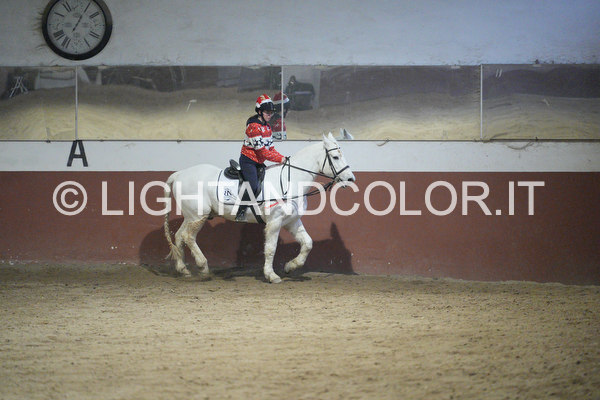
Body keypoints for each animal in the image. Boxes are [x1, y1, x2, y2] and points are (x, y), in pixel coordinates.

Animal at [162, 132, 356, 283]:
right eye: (336, 157)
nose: (350, 178)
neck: (290, 180)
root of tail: (180, 174)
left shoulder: (292, 221)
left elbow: (307, 243)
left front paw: (290, 266)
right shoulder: (275, 222)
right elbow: (270, 249)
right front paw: (271, 275)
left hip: (191, 216)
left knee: (179, 236)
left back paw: (183, 269)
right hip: (198, 216)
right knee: (188, 237)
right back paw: (202, 267)